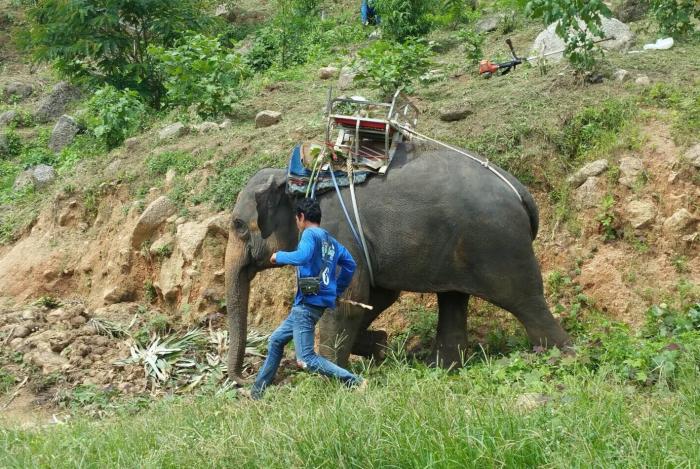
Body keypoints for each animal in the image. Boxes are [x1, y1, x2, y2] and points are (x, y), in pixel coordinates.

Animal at [227, 141, 572, 382]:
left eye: (238, 225)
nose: (242, 379)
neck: (300, 180)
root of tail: (521, 192)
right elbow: (377, 295)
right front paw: (380, 345)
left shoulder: (337, 229)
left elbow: (349, 298)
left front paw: (330, 379)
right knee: (453, 299)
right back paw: (441, 369)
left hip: (498, 245)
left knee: (525, 301)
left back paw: (560, 359)